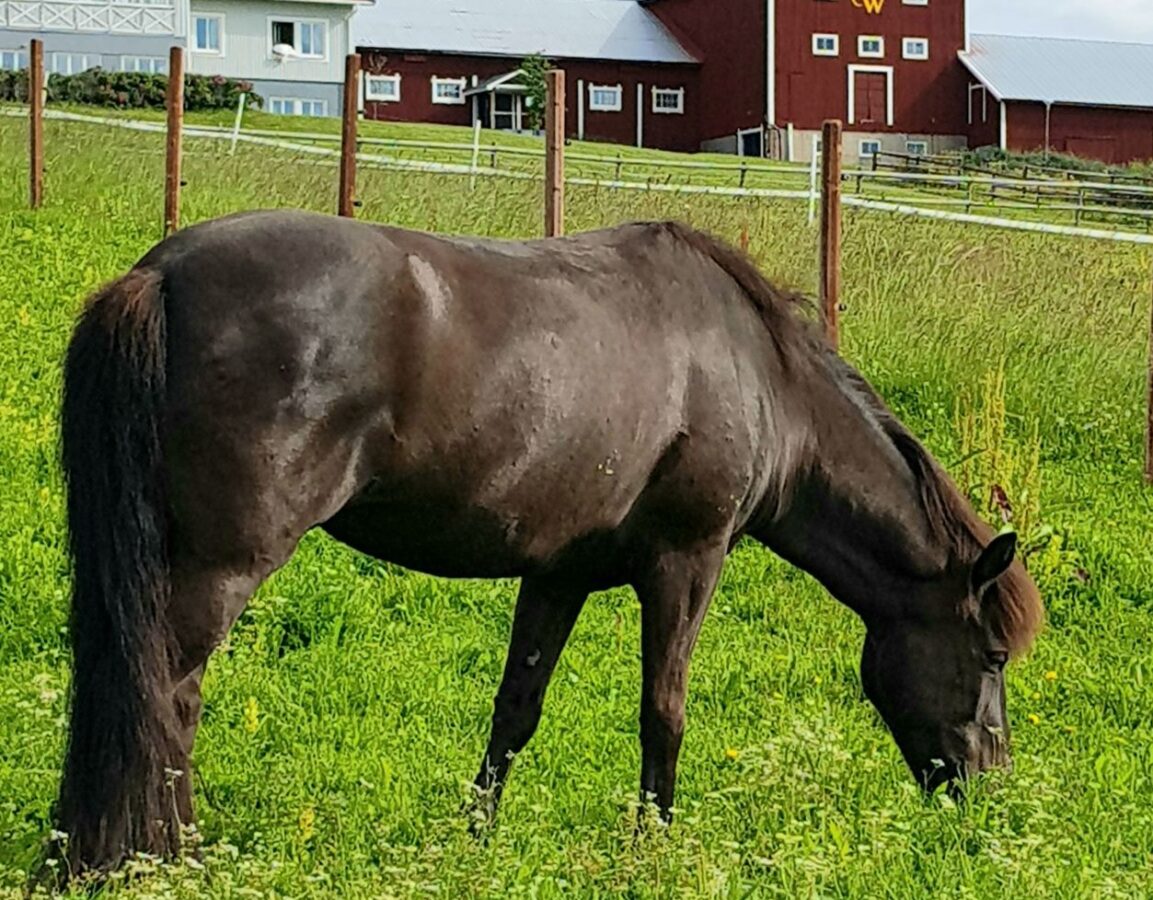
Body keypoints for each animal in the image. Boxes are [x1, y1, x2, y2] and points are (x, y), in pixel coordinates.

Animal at [54, 208, 1042, 875]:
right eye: (991, 655)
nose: (986, 790)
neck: (762, 379)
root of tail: (161, 276)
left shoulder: (557, 574)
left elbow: (514, 711)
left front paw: (473, 841)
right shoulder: (685, 565)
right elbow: (662, 713)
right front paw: (651, 849)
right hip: (217, 570)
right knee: (166, 696)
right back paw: (163, 855)